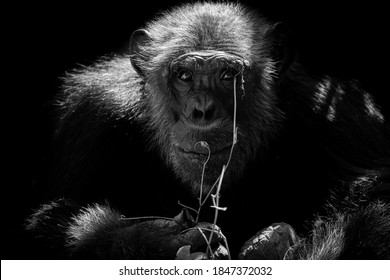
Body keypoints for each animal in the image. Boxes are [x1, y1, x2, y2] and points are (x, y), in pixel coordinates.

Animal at [25, 2, 390, 260]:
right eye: (184, 75)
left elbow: (377, 200)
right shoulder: (91, 116)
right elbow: (47, 222)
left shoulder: (340, 114)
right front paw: (156, 243)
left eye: (228, 75)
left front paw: (271, 246)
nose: (201, 110)